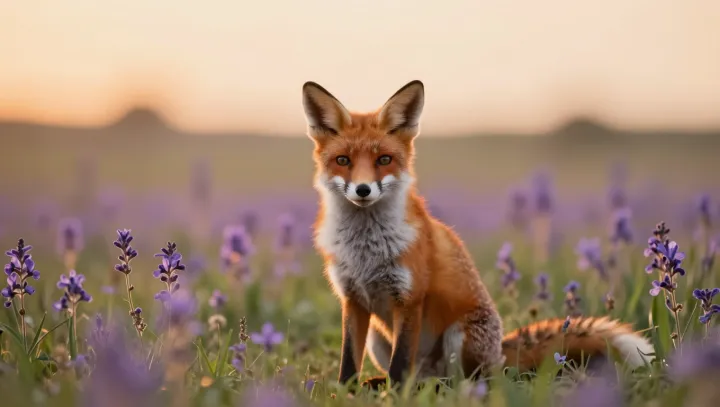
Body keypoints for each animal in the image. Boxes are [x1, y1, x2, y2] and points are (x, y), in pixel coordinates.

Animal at [300, 80, 654, 390]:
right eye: (343, 160)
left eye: (383, 159)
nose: (363, 190)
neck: (366, 250)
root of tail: (499, 354)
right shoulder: (353, 300)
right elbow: (349, 362)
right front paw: (345, 393)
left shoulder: (409, 299)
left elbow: (399, 365)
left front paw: (395, 396)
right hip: (377, 336)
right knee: (420, 377)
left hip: (459, 337)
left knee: (463, 382)